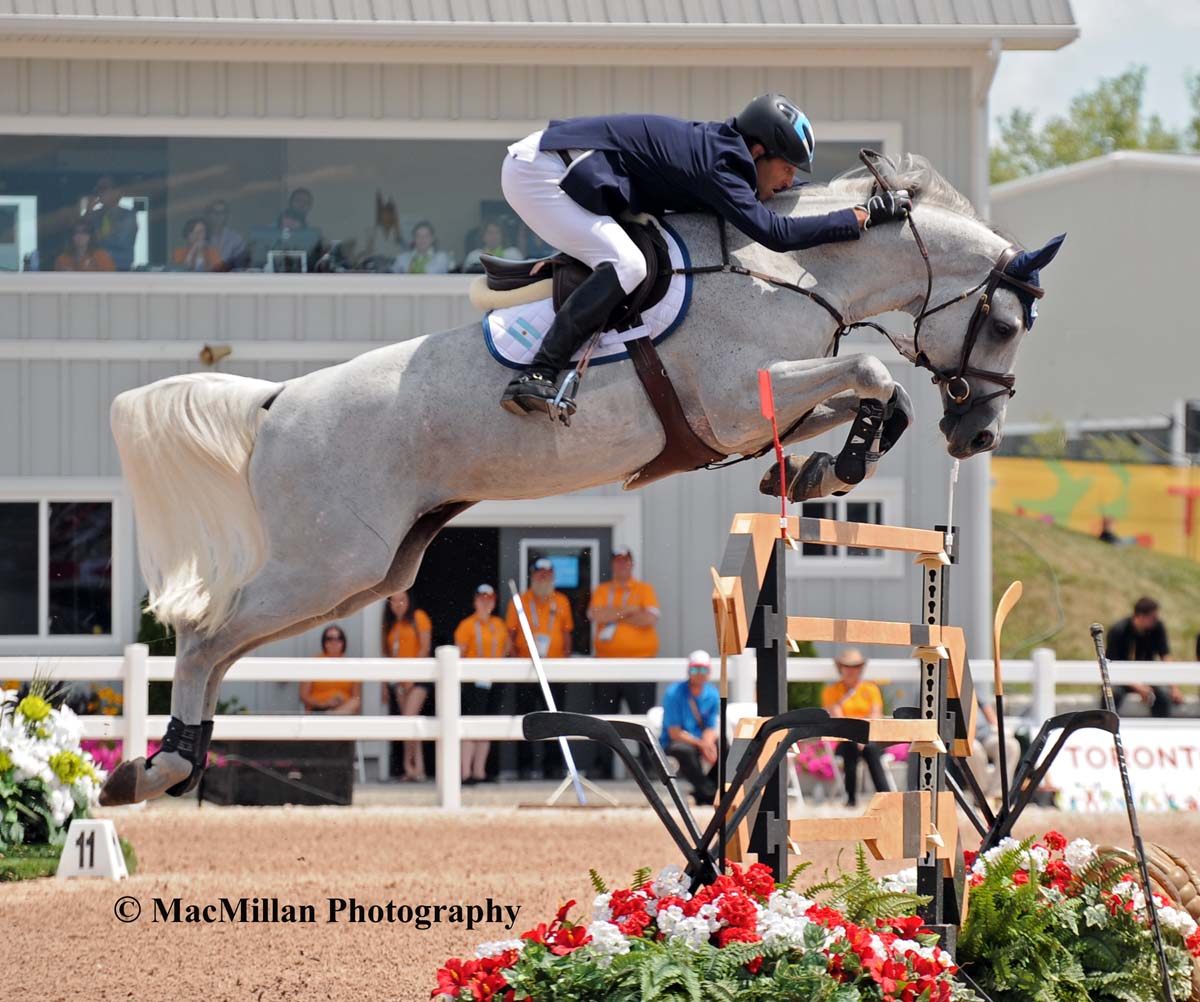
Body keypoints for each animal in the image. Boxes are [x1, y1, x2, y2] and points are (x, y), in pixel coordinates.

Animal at [98, 154, 1065, 806]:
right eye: (1005, 323)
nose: (978, 434)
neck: (792, 268)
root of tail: (274, 402)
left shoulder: (762, 409)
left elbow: (864, 393)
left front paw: (833, 464)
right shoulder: (735, 402)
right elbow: (871, 369)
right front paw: (851, 455)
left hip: (364, 575)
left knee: (226, 640)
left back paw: (170, 762)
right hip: (327, 564)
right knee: (205, 636)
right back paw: (157, 767)